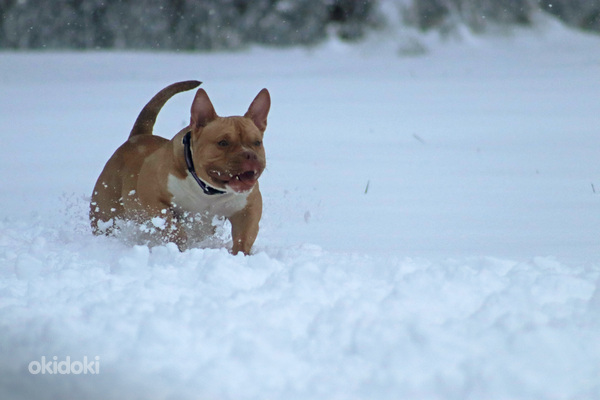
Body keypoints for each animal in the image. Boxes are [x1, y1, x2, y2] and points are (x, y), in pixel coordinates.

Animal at [90, 81, 270, 255]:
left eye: (257, 142)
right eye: (223, 142)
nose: (250, 155)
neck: (207, 190)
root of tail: (138, 136)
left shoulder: (247, 209)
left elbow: (244, 236)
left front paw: (240, 255)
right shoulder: (153, 199)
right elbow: (172, 226)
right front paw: (180, 246)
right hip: (106, 212)